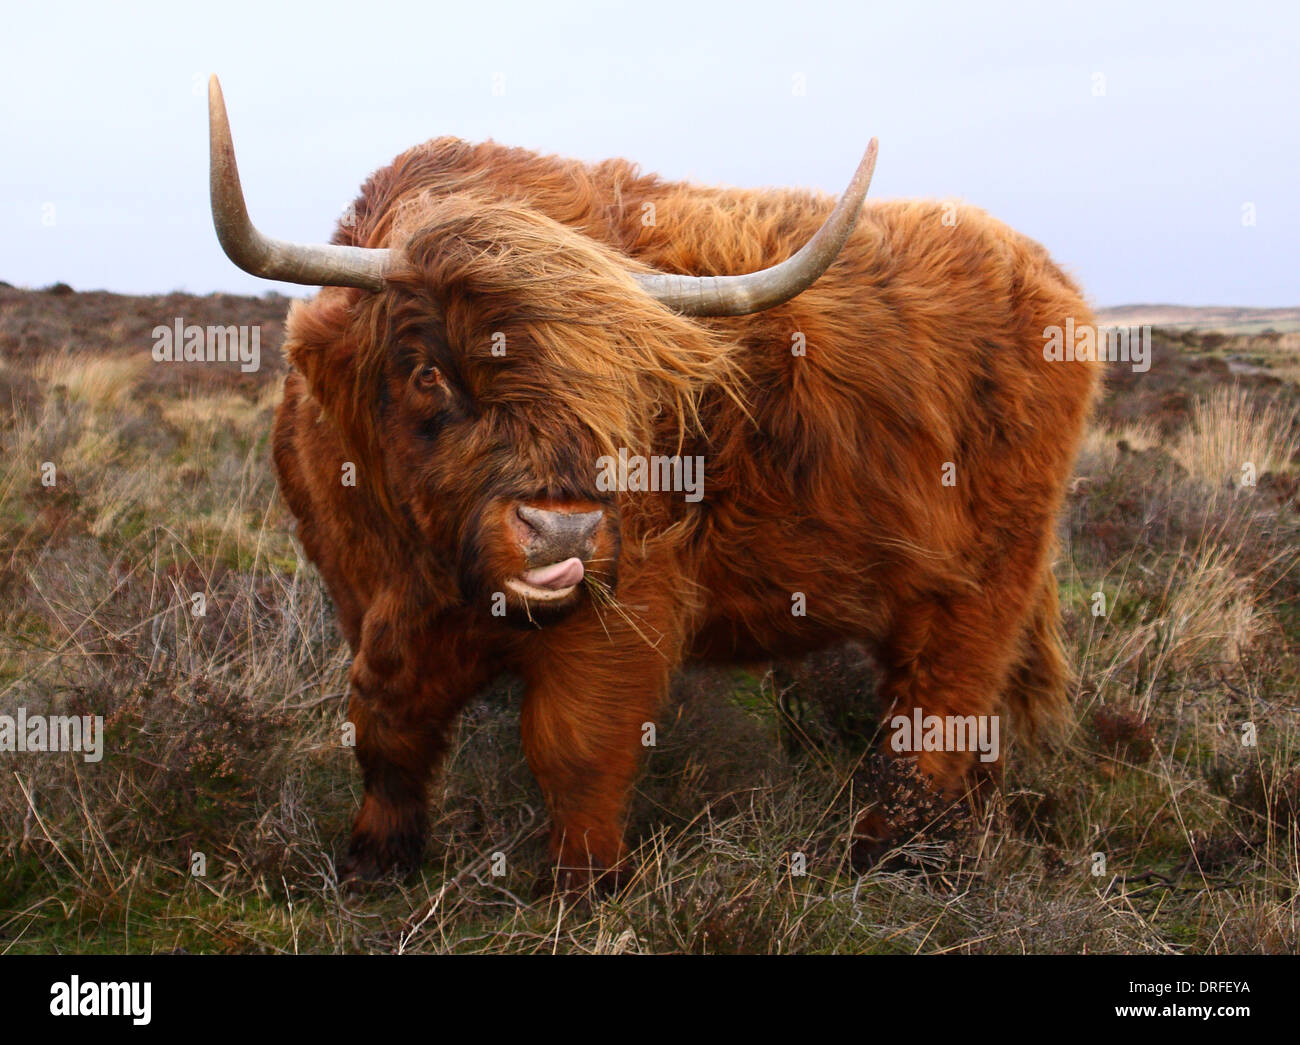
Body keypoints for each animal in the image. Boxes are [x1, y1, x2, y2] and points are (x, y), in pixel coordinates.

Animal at [208, 75, 1102, 889]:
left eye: (622, 385)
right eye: (429, 370)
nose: (561, 530)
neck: (427, 568)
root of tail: (1044, 273)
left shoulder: (626, 594)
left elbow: (573, 742)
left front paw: (587, 884)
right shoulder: (362, 594)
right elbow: (385, 721)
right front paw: (376, 856)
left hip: (985, 574)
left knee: (941, 699)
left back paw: (898, 852)